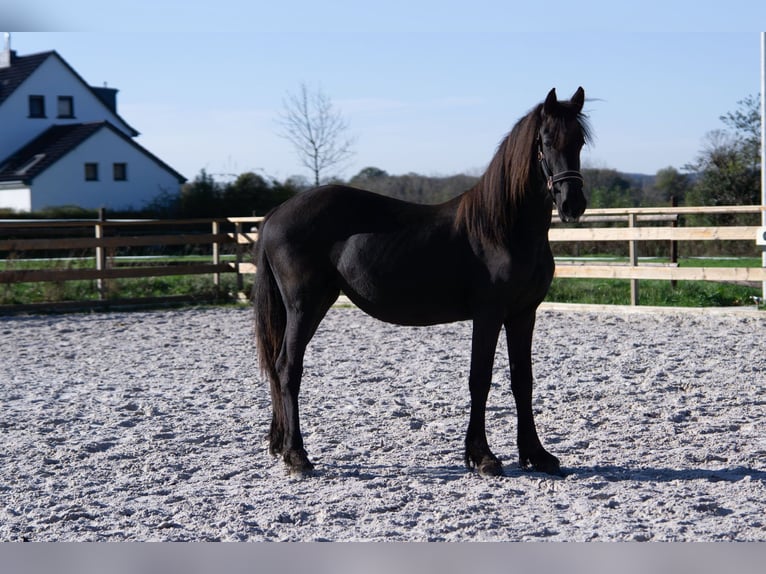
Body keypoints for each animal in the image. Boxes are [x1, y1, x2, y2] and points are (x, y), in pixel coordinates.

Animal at [255, 88, 592, 480]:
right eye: (546, 141)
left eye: (579, 141)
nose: (572, 204)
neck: (503, 229)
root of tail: (276, 214)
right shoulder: (488, 314)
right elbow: (480, 379)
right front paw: (483, 457)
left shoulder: (524, 314)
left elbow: (523, 380)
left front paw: (536, 455)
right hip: (303, 306)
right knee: (287, 368)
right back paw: (297, 456)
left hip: (315, 304)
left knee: (279, 367)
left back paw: (282, 447)